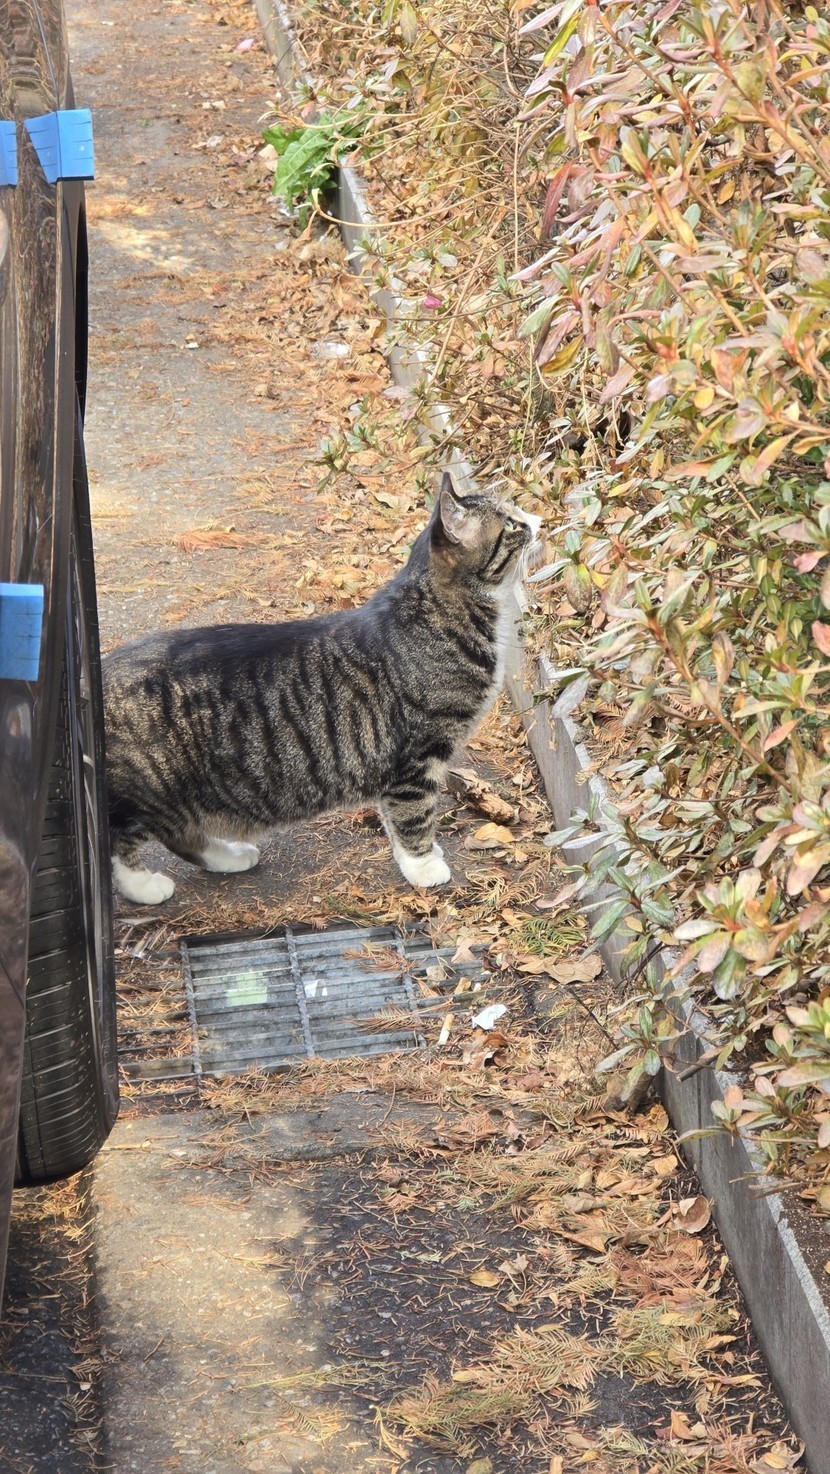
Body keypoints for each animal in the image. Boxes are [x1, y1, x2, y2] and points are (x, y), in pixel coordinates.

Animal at [102, 474, 541, 905]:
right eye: (511, 524)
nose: (536, 519)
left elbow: (392, 818)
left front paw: (415, 858)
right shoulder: (417, 757)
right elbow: (413, 815)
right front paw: (424, 865)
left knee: (181, 835)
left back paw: (228, 857)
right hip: (155, 792)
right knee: (123, 838)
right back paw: (145, 886)